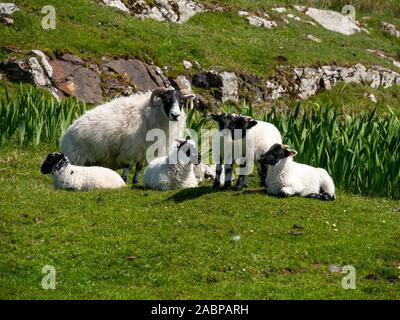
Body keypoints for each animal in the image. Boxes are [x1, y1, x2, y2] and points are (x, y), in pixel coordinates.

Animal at [60, 87, 195, 185]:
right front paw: (124, 179)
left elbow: (139, 166)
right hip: (77, 156)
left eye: (182, 101)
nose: (175, 115)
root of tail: (66, 134)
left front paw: (135, 181)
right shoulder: (132, 148)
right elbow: (128, 165)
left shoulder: (144, 148)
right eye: (166, 100)